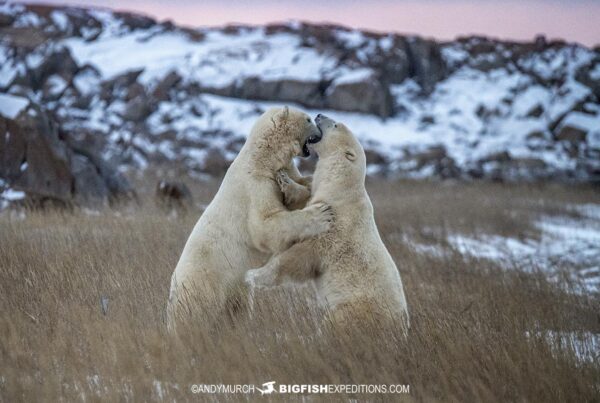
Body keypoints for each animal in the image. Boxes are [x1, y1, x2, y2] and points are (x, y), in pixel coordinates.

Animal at [166, 108, 336, 332]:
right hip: (204, 284)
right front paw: (322, 214)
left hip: (234, 290)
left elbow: (301, 187)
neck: (261, 158)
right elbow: (265, 225)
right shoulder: (255, 184)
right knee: (197, 316)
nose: (317, 122)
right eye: (307, 119)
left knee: (237, 308)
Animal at [246, 113, 410, 332]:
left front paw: (253, 275)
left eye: (335, 125)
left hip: (355, 308)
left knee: (335, 323)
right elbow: (303, 202)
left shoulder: (333, 229)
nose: (319, 115)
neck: (340, 191)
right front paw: (285, 179)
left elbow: (296, 259)